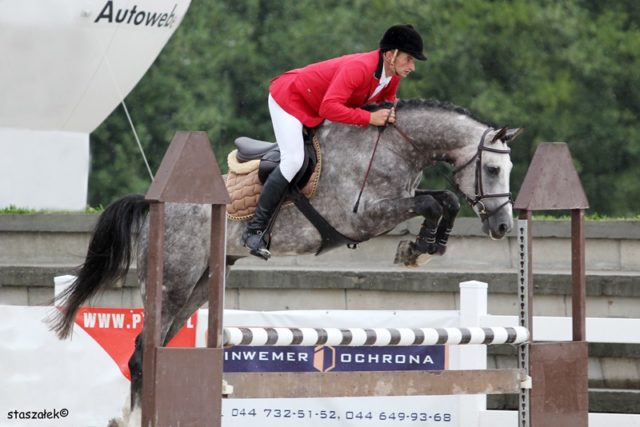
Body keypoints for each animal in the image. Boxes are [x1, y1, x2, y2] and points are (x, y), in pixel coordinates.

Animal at [48, 99, 520, 424]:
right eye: (494, 170)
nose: (502, 226)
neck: (395, 147)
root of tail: (151, 206)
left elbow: (443, 200)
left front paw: (424, 248)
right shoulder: (363, 216)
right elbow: (437, 201)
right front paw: (417, 248)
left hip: (200, 286)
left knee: (155, 348)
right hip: (173, 281)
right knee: (142, 354)